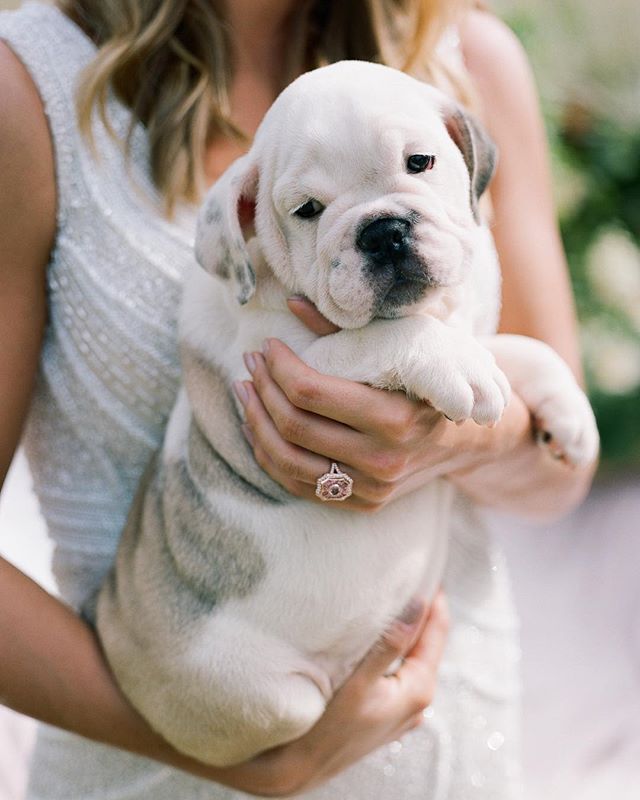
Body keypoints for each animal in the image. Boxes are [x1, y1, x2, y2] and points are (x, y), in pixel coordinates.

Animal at [96, 61, 600, 764]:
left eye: (421, 162)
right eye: (308, 210)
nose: (383, 230)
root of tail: (110, 616)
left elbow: (506, 346)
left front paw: (566, 407)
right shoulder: (284, 364)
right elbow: (383, 338)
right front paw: (456, 364)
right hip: (262, 697)